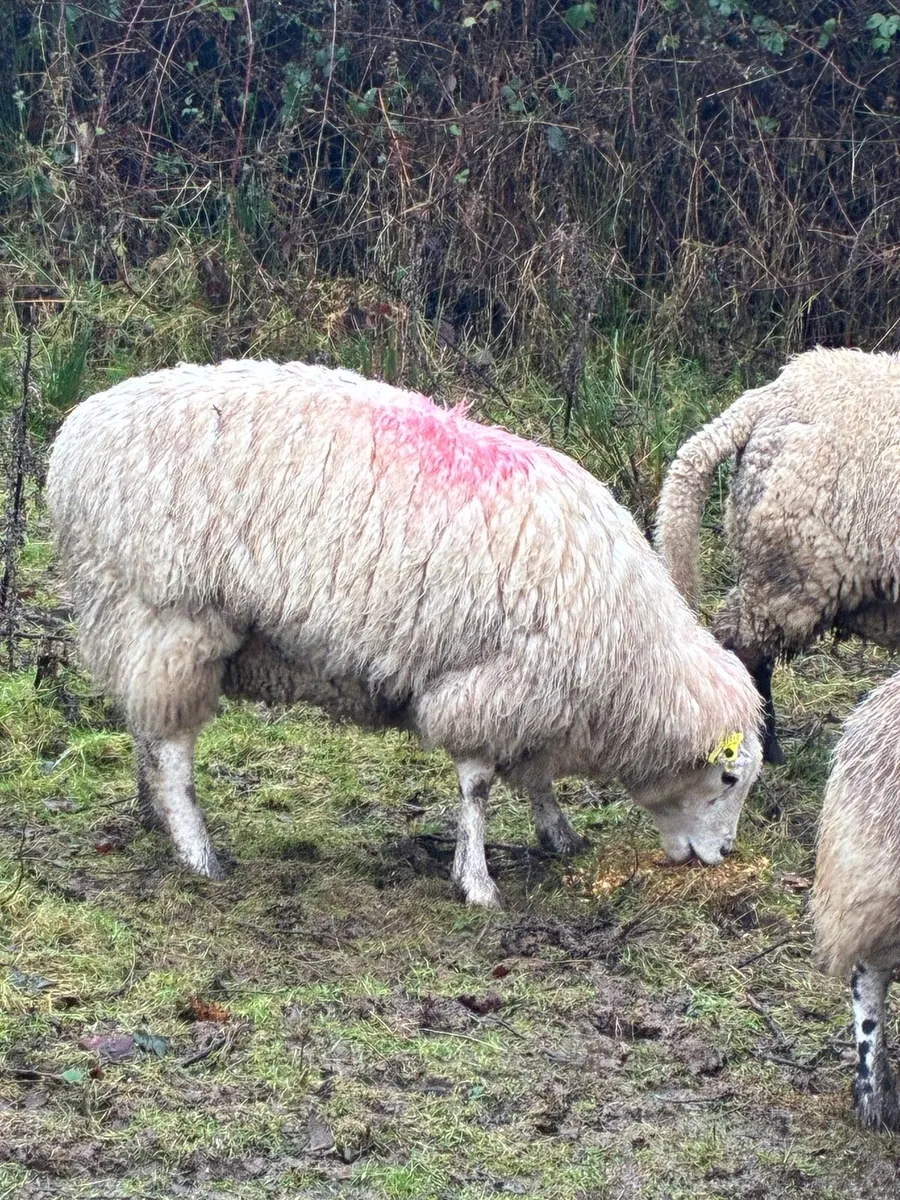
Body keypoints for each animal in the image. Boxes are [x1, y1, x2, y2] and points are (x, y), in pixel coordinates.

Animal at [47, 358, 763, 907]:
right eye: (728, 779)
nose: (721, 856)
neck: (633, 657)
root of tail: (74, 436)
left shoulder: (537, 697)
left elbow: (533, 776)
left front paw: (558, 834)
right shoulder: (493, 682)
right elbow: (477, 786)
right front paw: (477, 883)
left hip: (137, 623)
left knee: (146, 728)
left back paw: (153, 818)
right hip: (171, 614)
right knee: (172, 751)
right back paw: (197, 851)